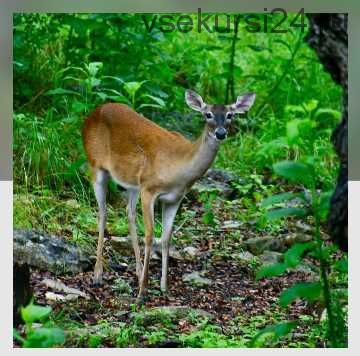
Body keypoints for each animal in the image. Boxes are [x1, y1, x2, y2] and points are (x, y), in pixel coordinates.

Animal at [81, 89, 256, 300]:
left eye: (230, 115)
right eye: (208, 114)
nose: (220, 133)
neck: (179, 169)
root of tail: (91, 114)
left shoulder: (174, 199)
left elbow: (166, 238)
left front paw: (164, 287)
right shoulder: (149, 189)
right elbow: (150, 236)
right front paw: (142, 292)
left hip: (132, 183)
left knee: (129, 213)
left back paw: (137, 271)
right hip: (95, 165)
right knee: (103, 213)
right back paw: (98, 274)